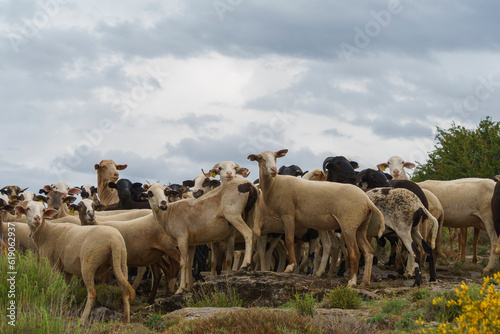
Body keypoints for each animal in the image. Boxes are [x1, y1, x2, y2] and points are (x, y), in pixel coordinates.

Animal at [248, 149, 384, 288]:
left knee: (355, 253)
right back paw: (365, 282)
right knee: (368, 251)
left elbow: (289, 240)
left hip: (348, 225)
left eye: (276, 157)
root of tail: (367, 201)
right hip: (360, 227)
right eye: (260, 158)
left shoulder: (288, 214)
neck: (274, 184)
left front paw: (290, 267)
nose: (273, 170)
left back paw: (351, 282)